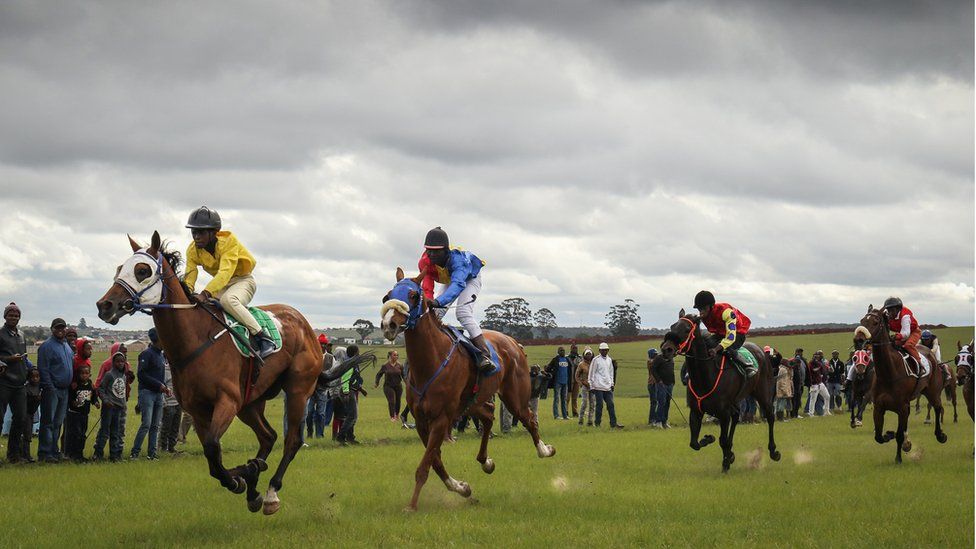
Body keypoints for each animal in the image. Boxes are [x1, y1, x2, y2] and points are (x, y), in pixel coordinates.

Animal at [95, 231, 318, 512]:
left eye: (142, 270)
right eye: (119, 269)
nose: (104, 305)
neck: (193, 340)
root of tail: (303, 323)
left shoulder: (227, 401)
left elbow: (213, 448)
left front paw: (241, 477)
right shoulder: (198, 410)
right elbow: (212, 459)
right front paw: (245, 476)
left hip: (297, 390)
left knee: (291, 440)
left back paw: (270, 493)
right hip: (251, 402)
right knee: (268, 436)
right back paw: (255, 481)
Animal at [378, 268, 552, 512]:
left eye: (413, 296)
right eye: (387, 296)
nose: (389, 324)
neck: (429, 362)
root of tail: (514, 342)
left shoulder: (442, 418)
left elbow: (425, 465)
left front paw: (411, 505)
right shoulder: (422, 420)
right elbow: (435, 461)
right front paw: (461, 487)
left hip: (514, 397)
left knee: (529, 420)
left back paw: (544, 450)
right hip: (472, 402)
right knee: (488, 416)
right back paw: (485, 461)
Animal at [660, 310, 780, 474]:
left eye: (687, 329)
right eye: (672, 326)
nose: (666, 349)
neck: (705, 376)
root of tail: (762, 352)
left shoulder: (723, 413)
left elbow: (722, 440)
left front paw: (725, 463)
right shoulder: (696, 411)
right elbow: (694, 443)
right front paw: (711, 441)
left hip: (763, 393)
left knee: (770, 417)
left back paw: (773, 451)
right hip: (735, 401)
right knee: (736, 416)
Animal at [856, 304, 944, 462]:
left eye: (875, 322)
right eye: (862, 320)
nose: (858, 340)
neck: (888, 373)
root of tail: (930, 353)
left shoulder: (901, 407)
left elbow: (899, 435)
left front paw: (898, 458)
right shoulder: (879, 407)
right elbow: (879, 436)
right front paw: (889, 435)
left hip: (933, 391)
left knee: (937, 407)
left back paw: (940, 435)